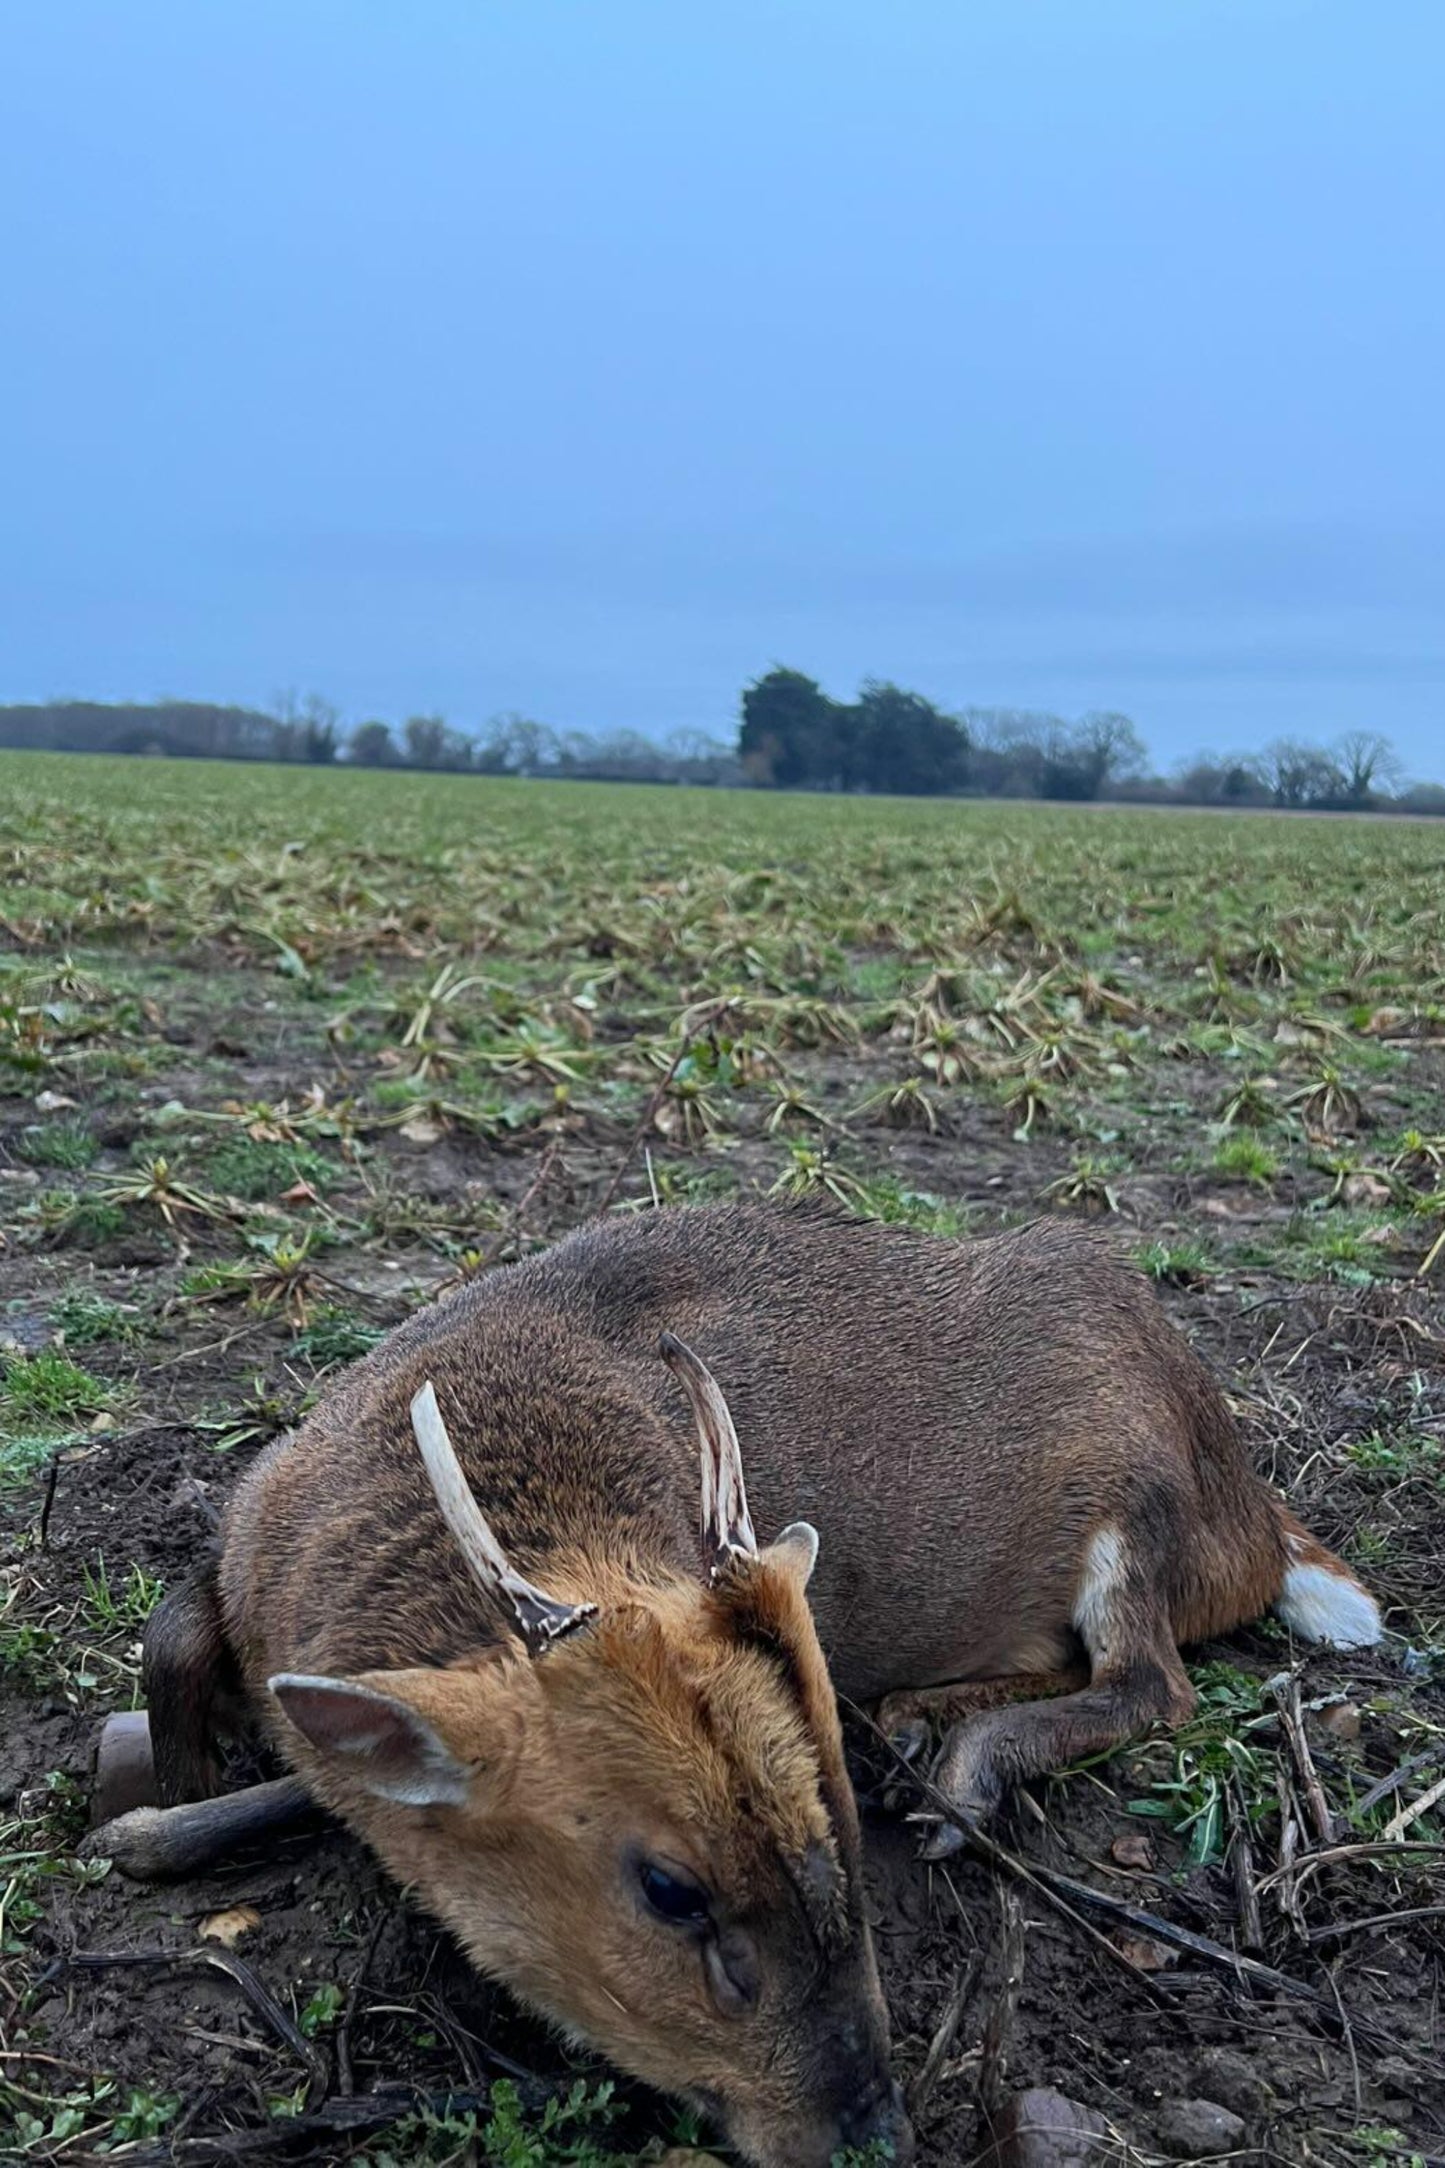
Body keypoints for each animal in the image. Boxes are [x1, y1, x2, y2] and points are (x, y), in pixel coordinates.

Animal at [94, 1200, 1381, 2168]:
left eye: (843, 1830)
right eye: (670, 1887)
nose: (874, 2134)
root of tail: (1251, 1510)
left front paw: (147, 1823)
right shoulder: (245, 1549)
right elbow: (183, 1645)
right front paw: (159, 1808)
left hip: (1138, 1510)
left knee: (1152, 1681)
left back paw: (958, 1769)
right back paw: (924, 1719)